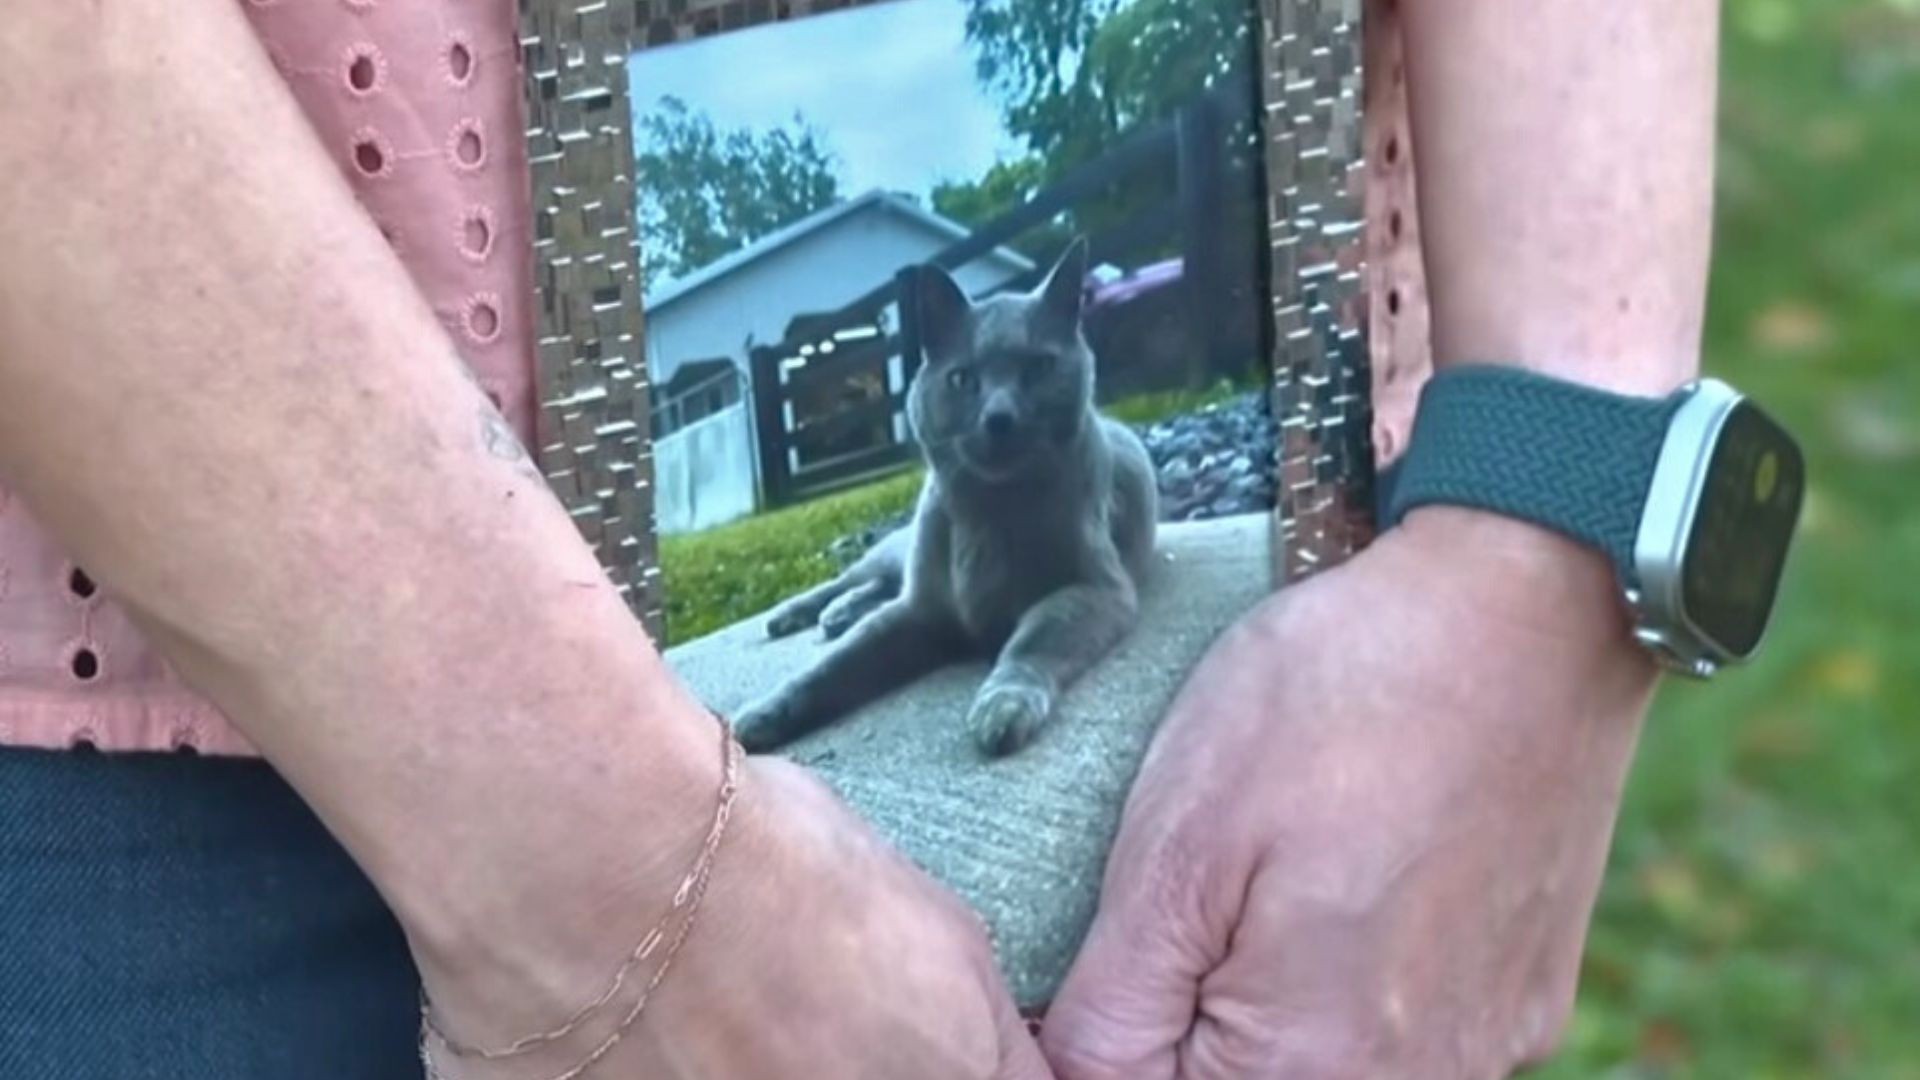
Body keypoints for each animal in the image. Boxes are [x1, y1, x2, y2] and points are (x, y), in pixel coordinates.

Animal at [733, 238, 1152, 753]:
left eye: (1038, 367)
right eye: (962, 379)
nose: (999, 418)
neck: (989, 513)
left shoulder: (1094, 589)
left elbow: (1030, 642)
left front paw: (1003, 707)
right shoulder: (919, 610)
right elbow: (831, 667)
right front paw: (763, 714)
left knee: (874, 590)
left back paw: (838, 614)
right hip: (898, 551)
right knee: (850, 580)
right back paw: (799, 615)